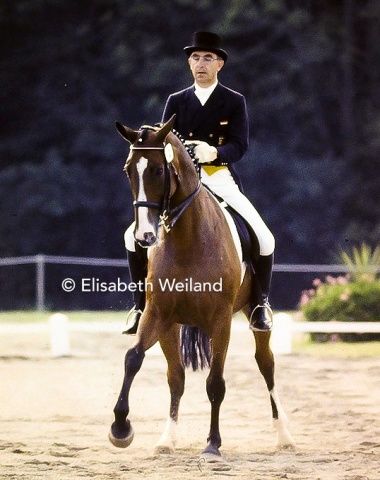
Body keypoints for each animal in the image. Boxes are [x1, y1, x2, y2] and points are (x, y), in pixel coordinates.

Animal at [110, 114, 294, 456]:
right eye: (128, 170)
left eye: (158, 169)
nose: (145, 237)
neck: (187, 239)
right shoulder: (158, 316)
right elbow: (134, 359)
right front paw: (120, 428)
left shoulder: (221, 321)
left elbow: (215, 383)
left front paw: (212, 445)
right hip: (171, 327)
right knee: (176, 377)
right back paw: (166, 440)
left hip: (252, 312)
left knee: (266, 365)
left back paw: (283, 435)